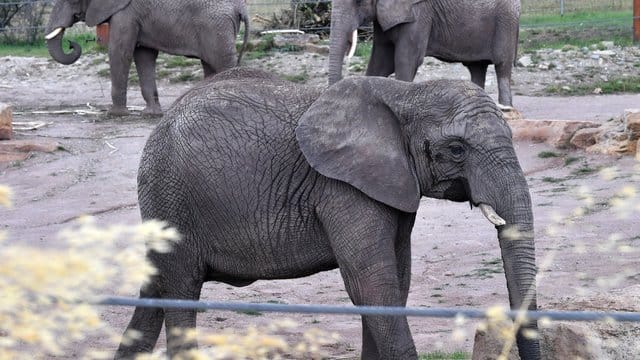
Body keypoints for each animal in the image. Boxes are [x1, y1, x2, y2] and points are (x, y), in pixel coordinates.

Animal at [43, 0, 249, 116]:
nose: (71, 43)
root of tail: (241, 7)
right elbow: (144, 56)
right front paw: (150, 114)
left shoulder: (126, 14)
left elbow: (120, 52)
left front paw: (114, 114)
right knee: (210, 66)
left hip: (216, 26)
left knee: (223, 63)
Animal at [116, 68, 540, 360]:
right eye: (456, 149)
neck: (406, 93)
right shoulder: (340, 188)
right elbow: (372, 284)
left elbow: (395, 283)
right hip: (171, 197)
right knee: (181, 290)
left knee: (155, 291)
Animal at [330, 0, 520, 107]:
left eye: (359, 1)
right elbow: (380, 61)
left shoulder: (419, 13)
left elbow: (406, 60)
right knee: (477, 67)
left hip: (506, 22)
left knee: (502, 66)